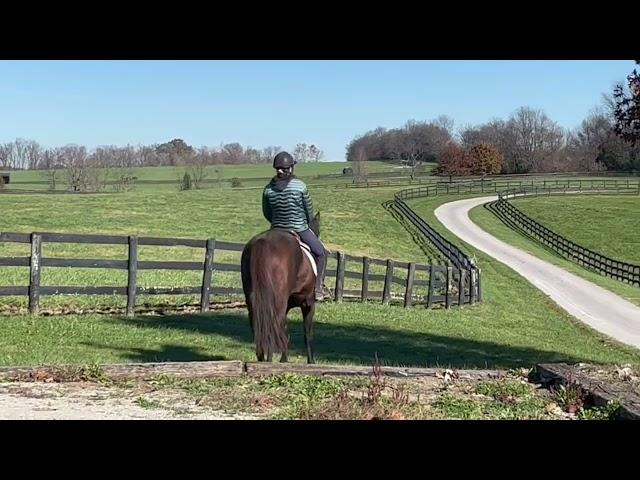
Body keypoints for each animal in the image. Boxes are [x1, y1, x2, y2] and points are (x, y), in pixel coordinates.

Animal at [240, 212, 322, 362]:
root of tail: (263, 242)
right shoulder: (308, 303)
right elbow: (308, 333)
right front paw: (311, 361)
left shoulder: (287, 307)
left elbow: (285, 331)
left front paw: (284, 360)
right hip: (278, 302)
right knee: (272, 326)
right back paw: (269, 361)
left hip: (254, 300)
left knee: (260, 327)